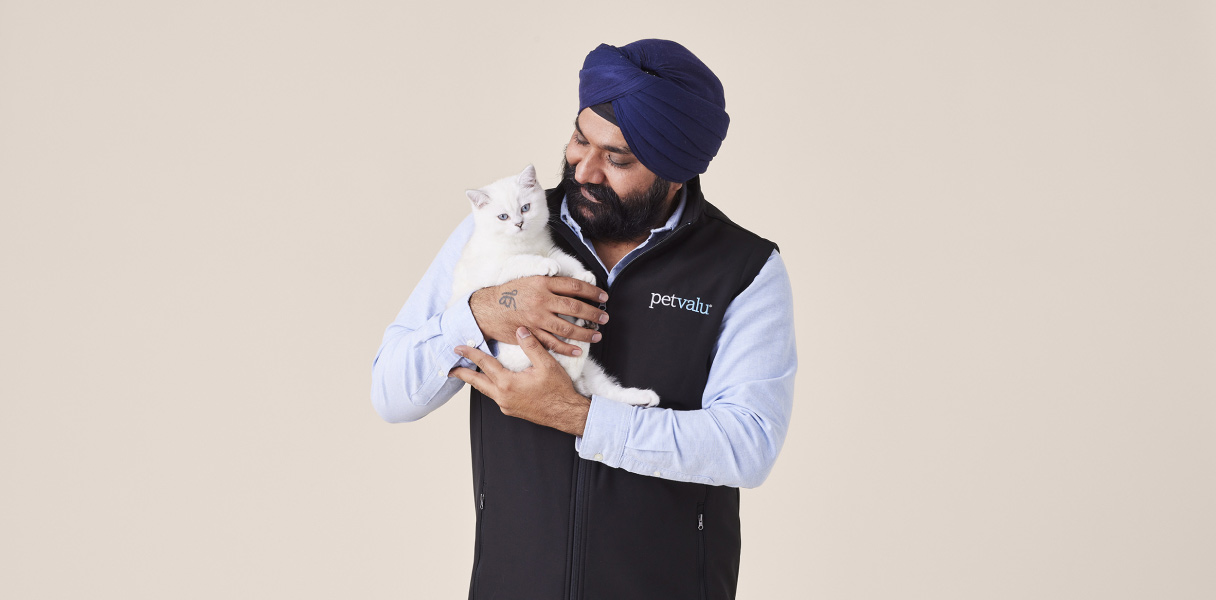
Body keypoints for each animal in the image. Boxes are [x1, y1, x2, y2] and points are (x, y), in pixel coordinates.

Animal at [447, 164, 661, 406]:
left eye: (526, 208)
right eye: (503, 217)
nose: (519, 223)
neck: (524, 243)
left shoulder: (550, 249)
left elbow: (567, 260)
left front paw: (583, 275)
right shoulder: (494, 268)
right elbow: (520, 260)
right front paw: (546, 266)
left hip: (590, 371)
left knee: (596, 386)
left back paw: (644, 396)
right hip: (515, 348)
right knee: (566, 368)